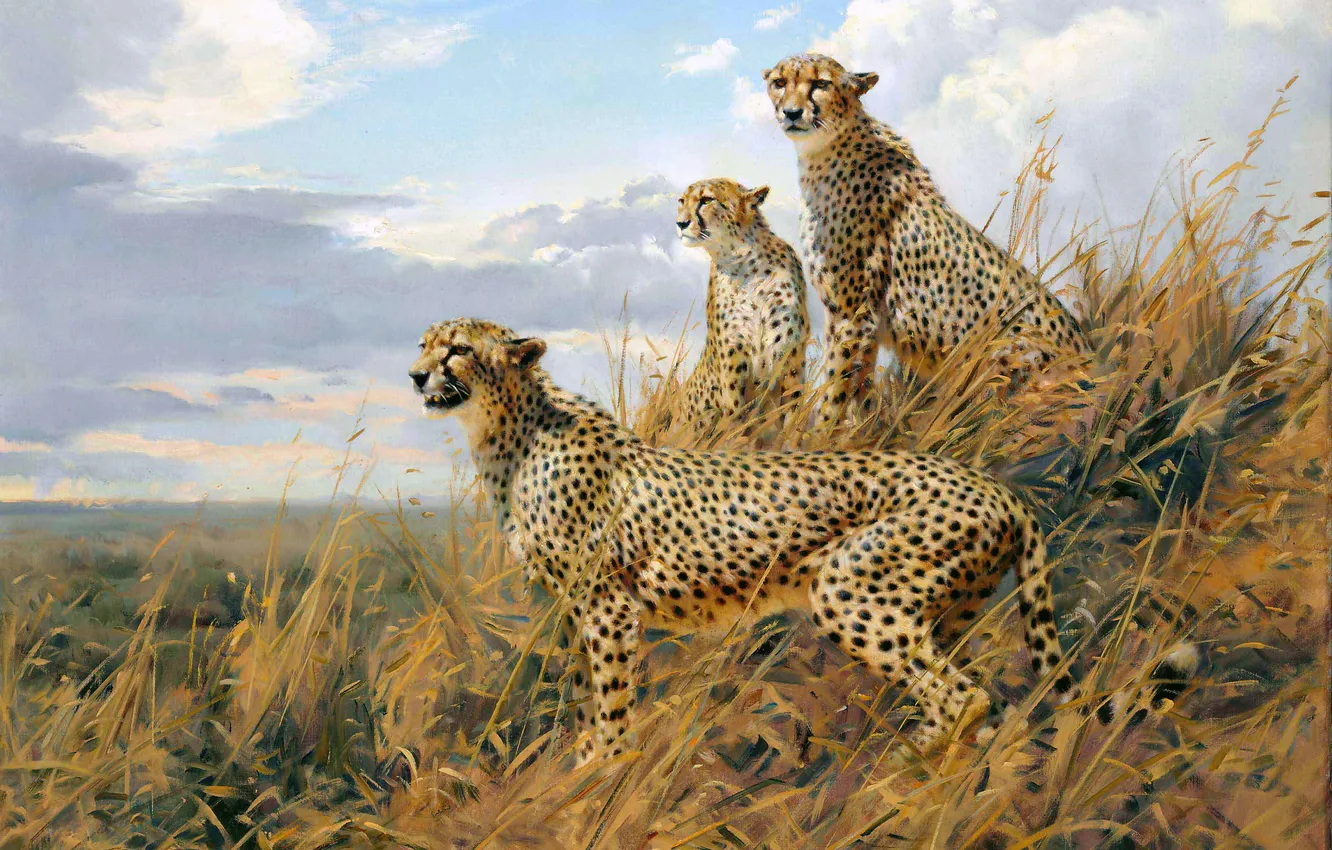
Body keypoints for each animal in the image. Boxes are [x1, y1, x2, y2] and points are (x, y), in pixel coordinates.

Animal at [409, 317, 1080, 765]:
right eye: (423, 344)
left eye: (459, 350)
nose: (415, 376)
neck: (511, 434)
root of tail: (997, 487)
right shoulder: (574, 609)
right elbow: (582, 692)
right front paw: (578, 764)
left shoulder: (607, 607)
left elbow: (612, 698)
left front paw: (603, 770)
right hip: (948, 612)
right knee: (983, 698)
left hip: (850, 592)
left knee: (965, 696)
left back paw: (906, 758)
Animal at [674, 178, 809, 436]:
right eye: (681, 201)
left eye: (707, 200)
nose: (681, 222)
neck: (744, 266)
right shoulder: (733, 359)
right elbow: (737, 416)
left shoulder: (789, 355)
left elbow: (792, 410)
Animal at [763, 53, 1090, 425]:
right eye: (779, 82)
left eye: (820, 83)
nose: (791, 112)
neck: (826, 149)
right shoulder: (857, 319)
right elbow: (856, 386)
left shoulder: (854, 312)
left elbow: (836, 386)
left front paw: (815, 435)